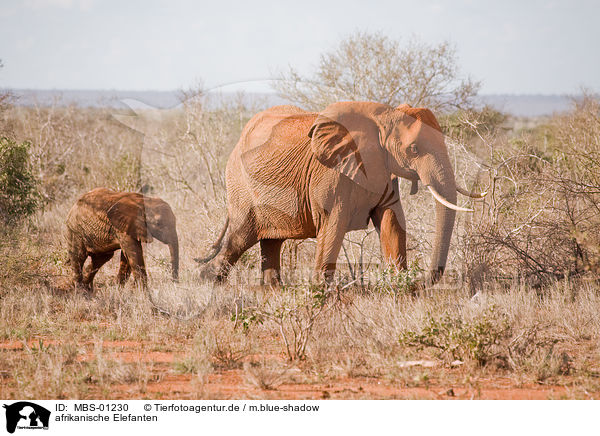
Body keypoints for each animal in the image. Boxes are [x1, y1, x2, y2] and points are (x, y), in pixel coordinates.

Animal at [200, 102, 482, 286]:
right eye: (414, 149)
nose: (421, 281)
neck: (382, 118)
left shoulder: (384, 171)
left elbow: (391, 221)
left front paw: (399, 287)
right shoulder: (330, 173)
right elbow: (333, 224)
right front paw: (319, 294)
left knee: (271, 242)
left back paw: (273, 292)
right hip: (241, 185)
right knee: (240, 237)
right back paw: (207, 280)